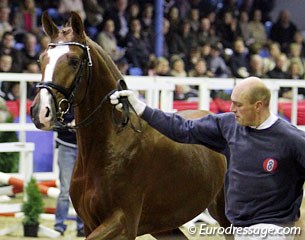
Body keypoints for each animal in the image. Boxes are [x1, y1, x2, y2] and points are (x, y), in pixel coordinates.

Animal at [30, 12, 229, 239]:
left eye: (73, 60)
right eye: (41, 59)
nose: (40, 112)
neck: (112, 141)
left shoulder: (123, 223)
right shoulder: (90, 222)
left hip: (224, 213)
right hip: (166, 227)